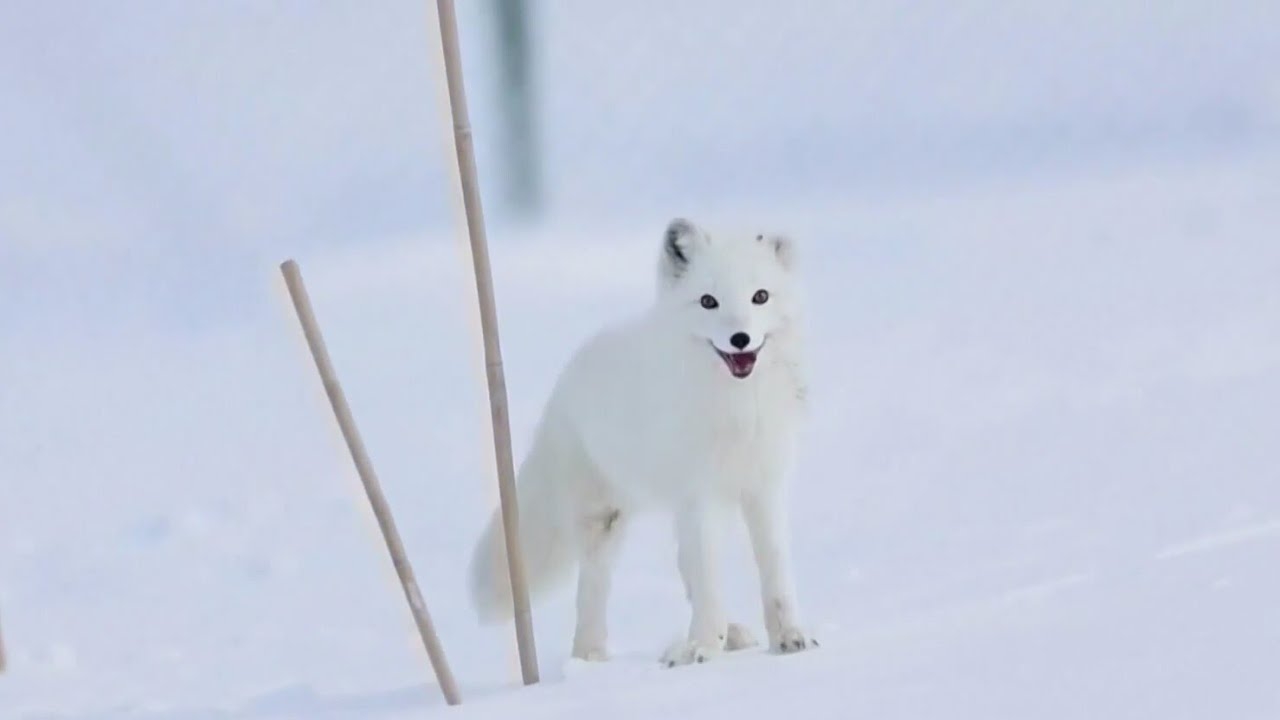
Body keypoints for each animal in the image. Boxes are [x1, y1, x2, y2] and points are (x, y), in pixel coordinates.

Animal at [468, 217, 816, 666]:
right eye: (708, 302)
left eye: (760, 297)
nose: (740, 338)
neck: (738, 410)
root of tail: (562, 387)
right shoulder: (701, 493)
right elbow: (709, 580)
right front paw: (702, 647)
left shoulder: (764, 487)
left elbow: (775, 573)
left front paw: (789, 638)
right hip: (605, 519)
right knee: (594, 596)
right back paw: (592, 659)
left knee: (686, 569)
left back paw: (732, 633)